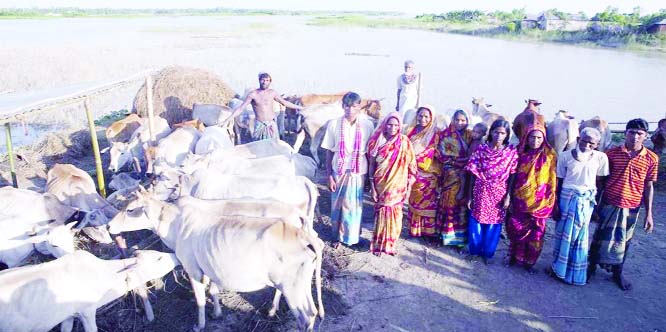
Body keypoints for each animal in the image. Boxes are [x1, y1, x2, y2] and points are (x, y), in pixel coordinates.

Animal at [107, 191, 322, 332]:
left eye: (130, 210)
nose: (108, 226)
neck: (174, 223)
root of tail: (303, 234)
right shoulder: (209, 266)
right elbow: (213, 290)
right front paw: (217, 313)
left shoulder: (193, 269)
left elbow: (200, 299)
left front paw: (200, 325)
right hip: (301, 286)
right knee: (311, 312)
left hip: (292, 289)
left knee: (305, 317)